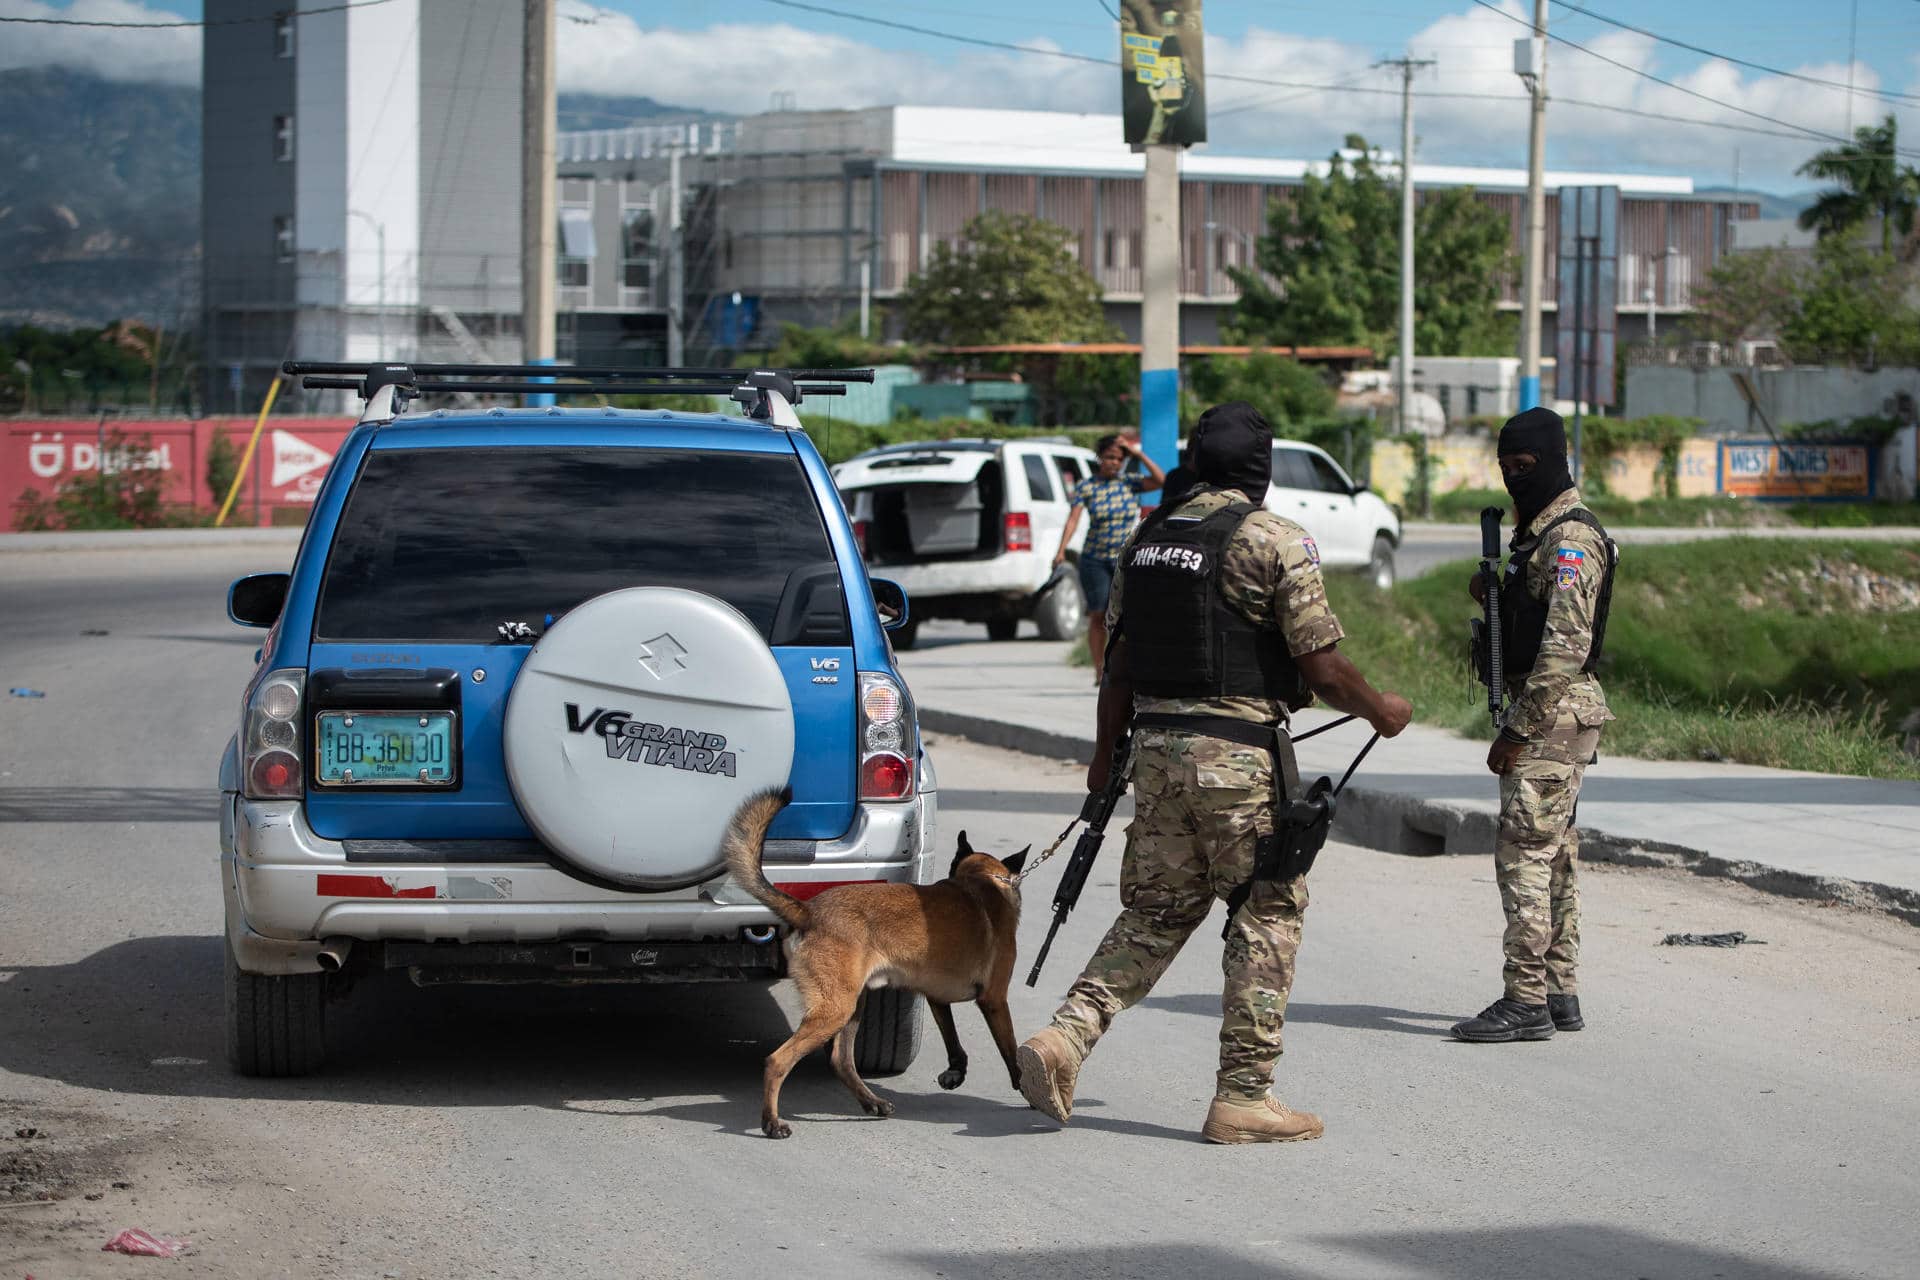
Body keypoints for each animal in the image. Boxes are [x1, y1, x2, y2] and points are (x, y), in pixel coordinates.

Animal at [721, 790, 1029, 1143]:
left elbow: (953, 1040)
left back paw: (872, 1102)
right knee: (777, 1061)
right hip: (836, 1010)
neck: (982, 881)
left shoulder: (937, 998)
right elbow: (1010, 1049)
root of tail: (808, 911)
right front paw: (1026, 1087)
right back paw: (772, 1122)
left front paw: (956, 1072)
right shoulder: (995, 1001)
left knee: (841, 1060)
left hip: (853, 1004)